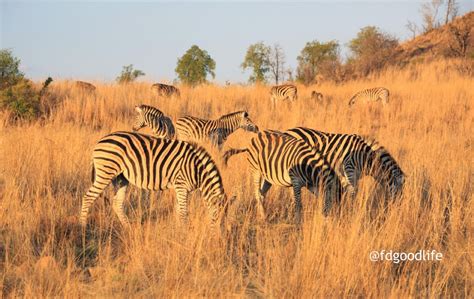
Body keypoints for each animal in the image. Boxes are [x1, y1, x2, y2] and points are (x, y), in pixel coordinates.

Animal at [79, 131, 230, 230]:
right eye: (217, 217)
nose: (219, 239)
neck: (197, 170)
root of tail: (100, 140)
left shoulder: (179, 188)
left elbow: (177, 210)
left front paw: (176, 231)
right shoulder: (181, 185)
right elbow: (183, 212)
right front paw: (184, 233)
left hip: (120, 178)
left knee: (117, 203)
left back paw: (128, 228)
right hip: (106, 172)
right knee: (88, 197)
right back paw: (82, 227)